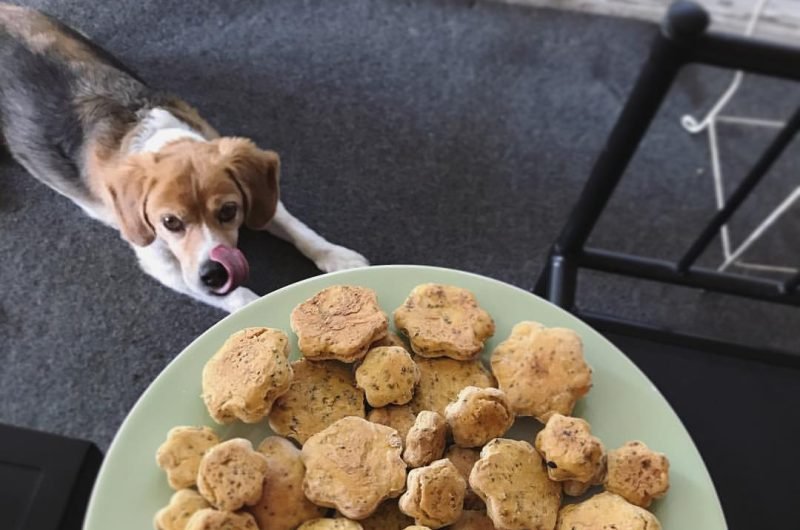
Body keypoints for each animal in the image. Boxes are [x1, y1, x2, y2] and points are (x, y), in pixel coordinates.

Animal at [0, 4, 368, 312]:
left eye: (228, 211)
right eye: (170, 222)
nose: (214, 274)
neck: (161, 138)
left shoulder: (262, 198)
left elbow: (299, 230)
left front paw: (339, 258)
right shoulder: (165, 265)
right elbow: (241, 297)